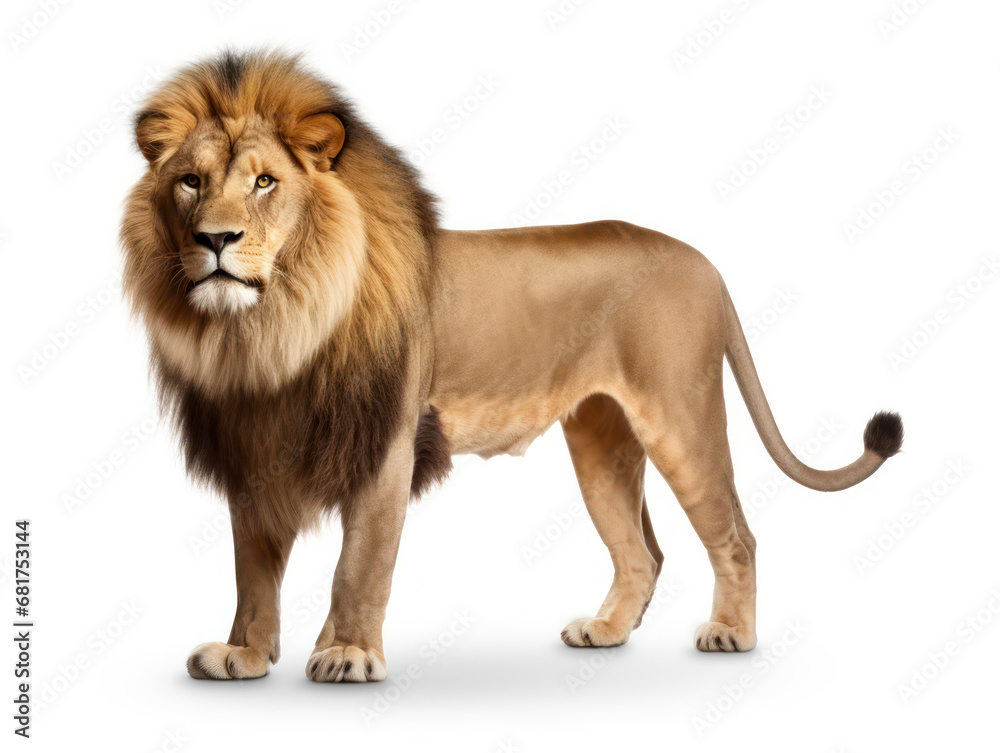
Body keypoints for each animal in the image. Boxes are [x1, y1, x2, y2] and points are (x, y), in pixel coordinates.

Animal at [121, 50, 903, 682]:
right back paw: (606, 630)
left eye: (264, 183)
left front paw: (347, 653)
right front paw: (244, 653)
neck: (272, 330)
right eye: (190, 182)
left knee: (736, 534)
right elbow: (252, 569)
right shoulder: (253, 447)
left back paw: (731, 633)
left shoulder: (388, 443)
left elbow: (360, 564)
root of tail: (704, 262)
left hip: (682, 416)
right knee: (642, 551)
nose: (215, 239)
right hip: (601, 438)